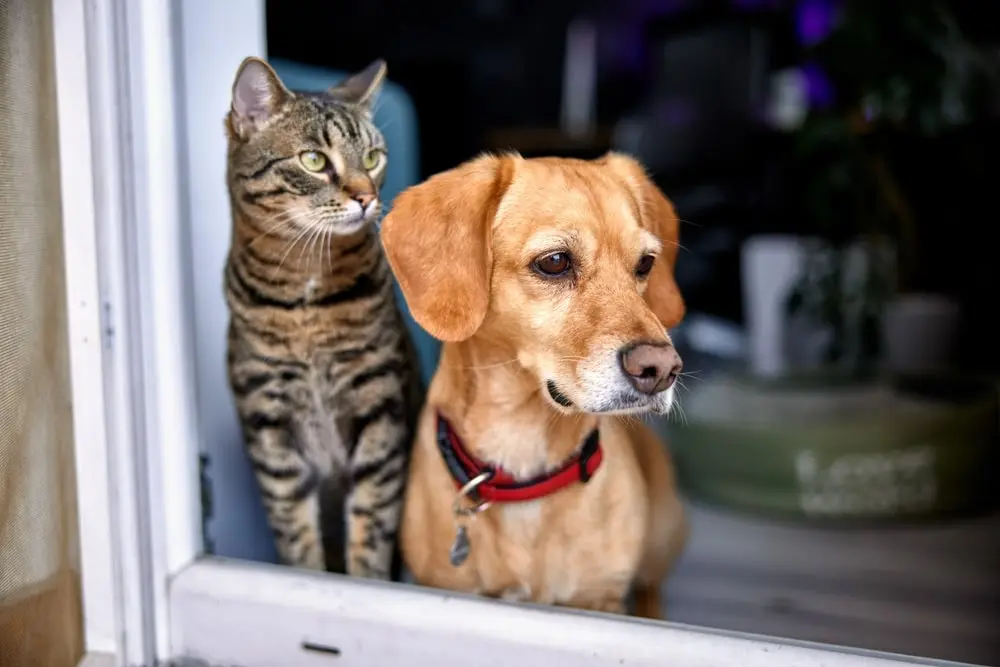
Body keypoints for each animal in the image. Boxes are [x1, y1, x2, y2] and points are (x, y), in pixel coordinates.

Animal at [223, 56, 422, 580]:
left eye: (372, 158)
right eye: (314, 161)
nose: (366, 197)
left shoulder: (380, 406)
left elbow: (372, 523)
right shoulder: (268, 421)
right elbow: (295, 531)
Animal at [380, 153, 688, 620]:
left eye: (646, 264)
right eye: (556, 261)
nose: (662, 368)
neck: (522, 446)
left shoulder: (601, 598)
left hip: (661, 538)